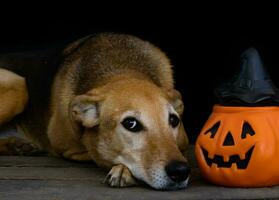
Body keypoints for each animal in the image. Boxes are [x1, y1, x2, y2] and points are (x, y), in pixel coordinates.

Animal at [0, 33, 190, 190]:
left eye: (174, 120)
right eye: (131, 124)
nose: (180, 171)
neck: (121, 67)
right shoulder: (67, 148)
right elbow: (97, 153)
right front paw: (122, 170)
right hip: (19, 85)